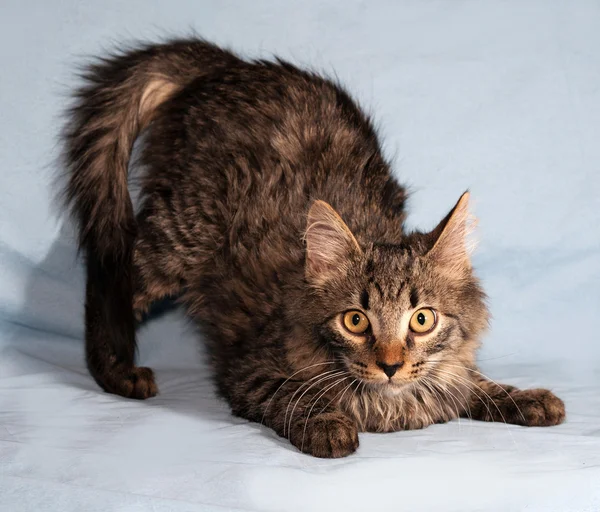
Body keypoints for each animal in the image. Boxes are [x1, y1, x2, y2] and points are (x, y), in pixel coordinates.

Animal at [63, 39, 564, 456]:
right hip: (179, 236)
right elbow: (289, 395)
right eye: (355, 321)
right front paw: (327, 423)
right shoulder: (249, 370)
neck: (393, 406)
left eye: (422, 320)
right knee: (107, 273)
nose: (391, 365)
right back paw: (115, 370)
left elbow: (473, 383)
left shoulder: (449, 372)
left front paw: (524, 396)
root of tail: (234, 66)